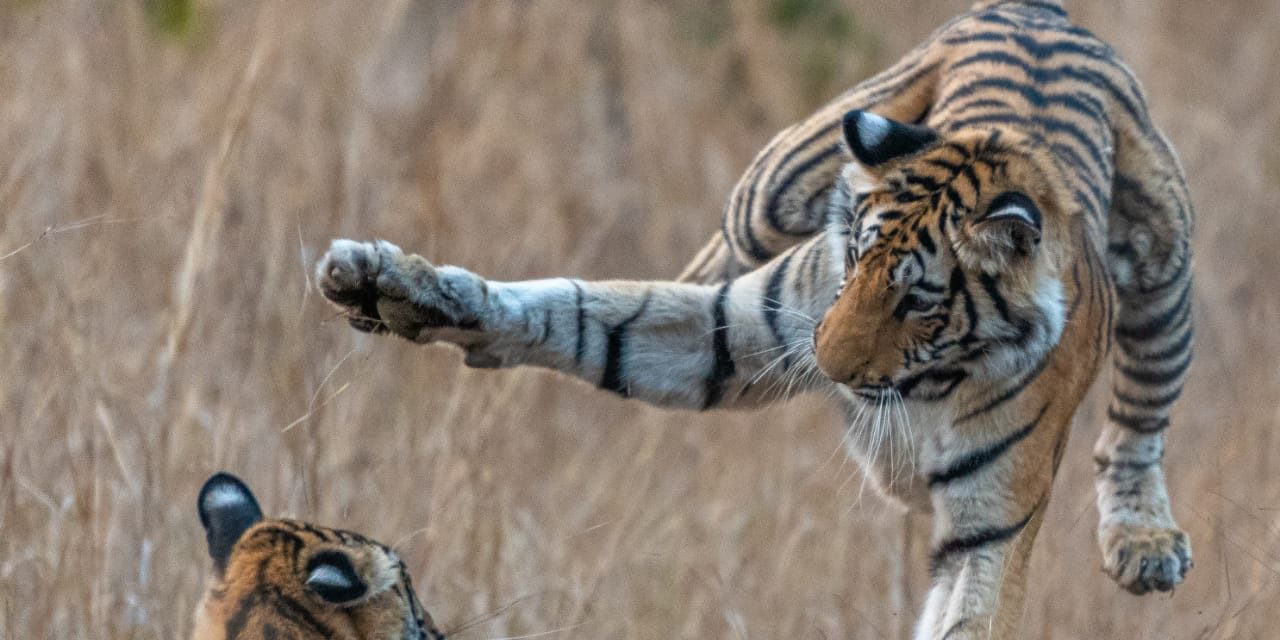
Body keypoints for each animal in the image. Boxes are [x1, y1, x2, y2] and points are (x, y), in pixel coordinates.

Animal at [313, 0, 1194, 637]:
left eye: (919, 300)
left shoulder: (992, 525)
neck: (928, 383)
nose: (827, 365)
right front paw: (395, 285)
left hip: (1166, 258)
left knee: (1137, 423)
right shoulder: (741, 327)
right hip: (771, 189)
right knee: (698, 265)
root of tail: (1047, 11)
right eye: (854, 262)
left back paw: (1145, 543)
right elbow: (582, 313)